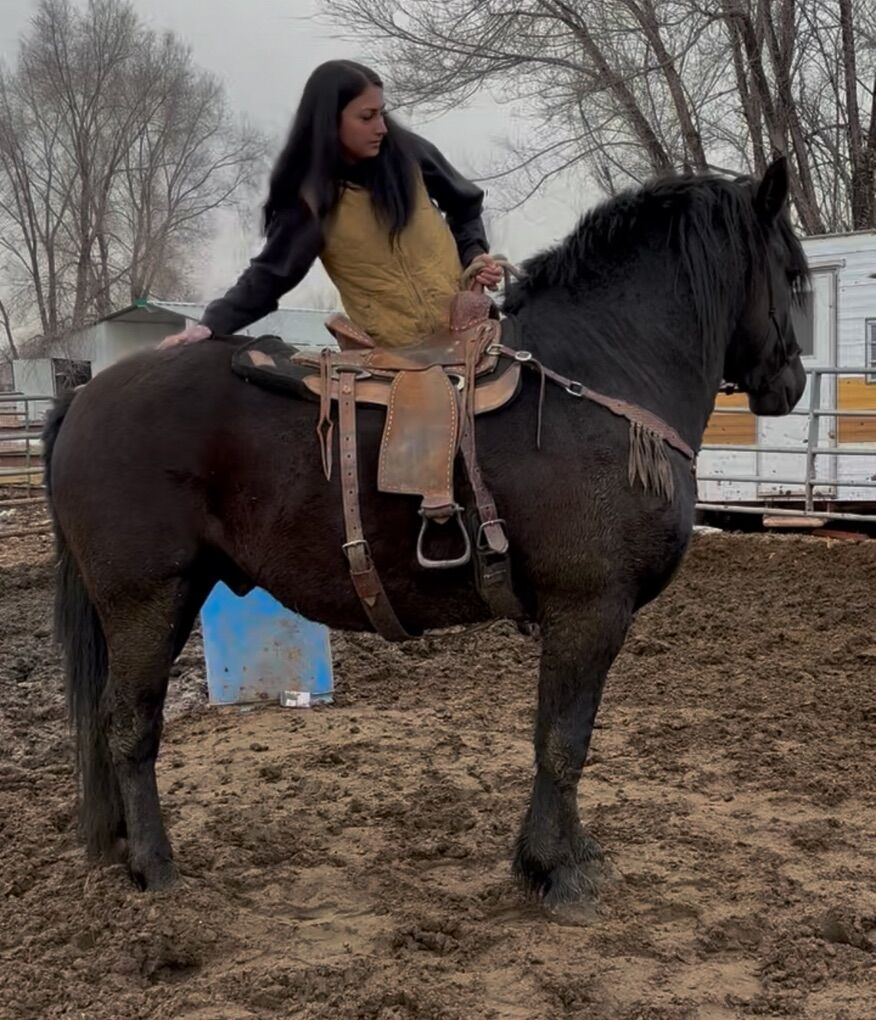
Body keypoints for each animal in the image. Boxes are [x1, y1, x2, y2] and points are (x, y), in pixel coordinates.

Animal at [43, 158, 807, 900]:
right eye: (793, 275)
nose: (793, 383)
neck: (600, 377)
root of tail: (84, 395)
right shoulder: (589, 610)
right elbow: (564, 742)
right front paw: (553, 869)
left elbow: (561, 736)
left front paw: (568, 855)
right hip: (146, 599)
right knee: (129, 724)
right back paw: (156, 868)